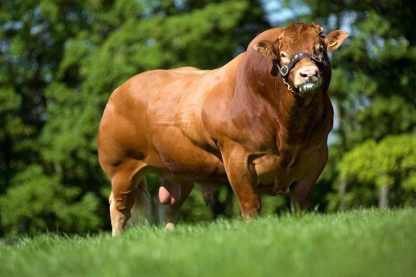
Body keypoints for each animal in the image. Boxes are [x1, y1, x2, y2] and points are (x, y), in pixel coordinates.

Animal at [97, 22, 348, 235]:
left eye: (319, 50)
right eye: (283, 54)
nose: (309, 74)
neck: (289, 129)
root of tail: (119, 90)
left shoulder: (316, 155)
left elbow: (300, 203)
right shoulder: (238, 158)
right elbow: (250, 206)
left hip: (180, 171)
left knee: (169, 205)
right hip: (121, 167)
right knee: (119, 207)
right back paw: (118, 239)